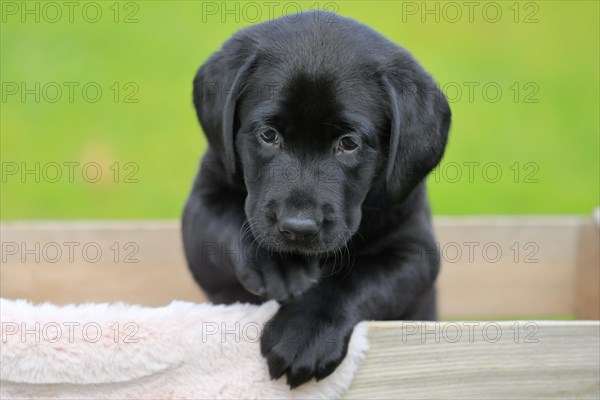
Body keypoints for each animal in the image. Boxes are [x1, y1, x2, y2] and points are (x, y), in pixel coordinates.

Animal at [183, 10, 450, 388]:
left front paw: (303, 333)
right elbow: (226, 223)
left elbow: (355, 278)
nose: (298, 228)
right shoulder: (201, 211)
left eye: (349, 143)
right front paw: (280, 263)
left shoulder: (415, 249)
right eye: (268, 135)